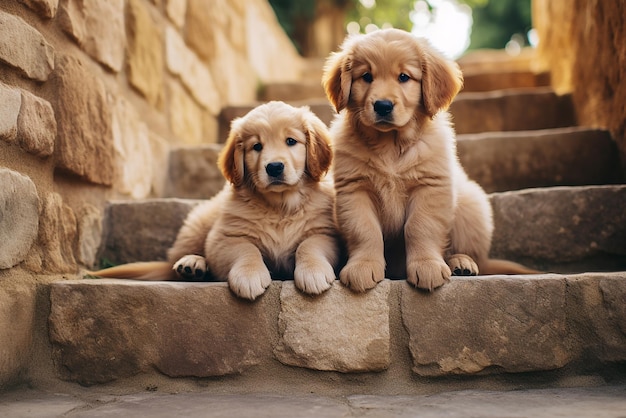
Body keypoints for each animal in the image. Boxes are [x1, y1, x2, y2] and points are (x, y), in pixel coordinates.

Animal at [322, 29, 532, 292]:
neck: (390, 145)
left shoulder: (430, 186)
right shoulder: (354, 189)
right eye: (366, 76)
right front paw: (363, 266)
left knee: (473, 254)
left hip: (471, 204)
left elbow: (420, 226)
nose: (382, 105)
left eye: (404, 77)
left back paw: (461, 263)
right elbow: (364, 229)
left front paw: (427, 265)